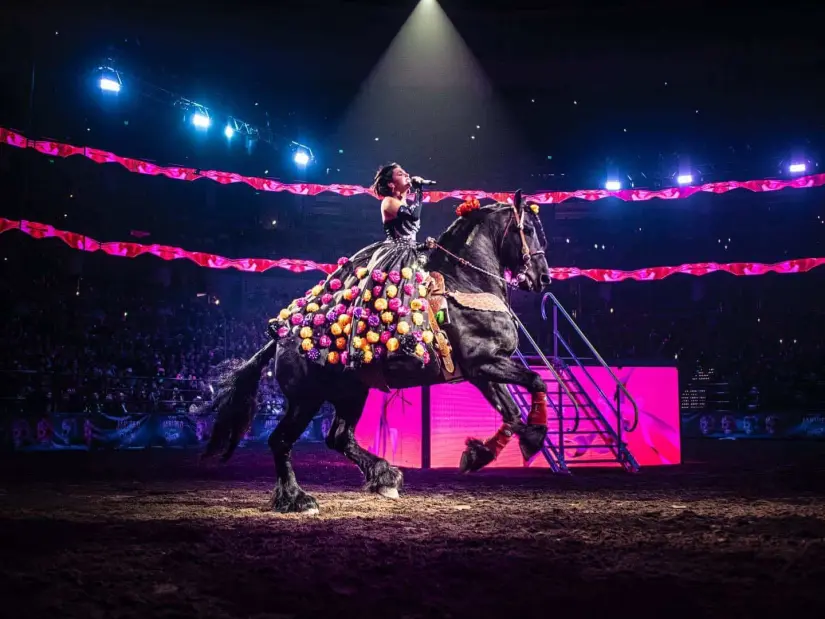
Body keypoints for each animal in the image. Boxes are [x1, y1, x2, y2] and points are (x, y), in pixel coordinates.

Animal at [203, 196, 552, 516]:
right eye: (527, 230)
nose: (543, 278)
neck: (467, 285)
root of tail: (280, 338)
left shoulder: (482, 372)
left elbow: (511, 413)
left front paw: (479, 454)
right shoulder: (485, 362)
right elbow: (536, 381)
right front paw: (534, 438)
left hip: (350, 394)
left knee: (338, 438)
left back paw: (384, 476)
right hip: (307, 399)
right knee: (281, 441)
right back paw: (298, 499)